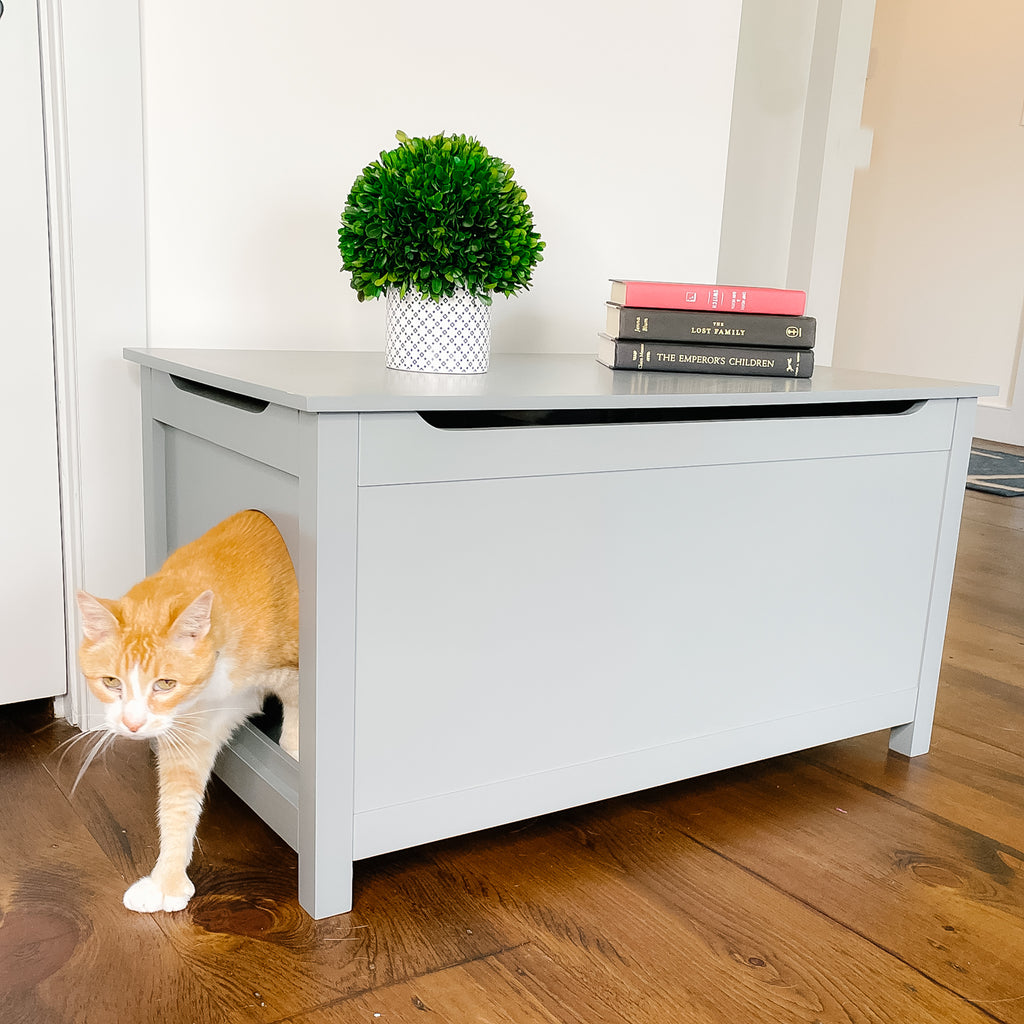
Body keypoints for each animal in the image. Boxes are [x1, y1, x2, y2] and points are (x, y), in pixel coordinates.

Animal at [76, 509, 299, 913]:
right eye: (111, 681)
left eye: (165, 684)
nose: (132, 723)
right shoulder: (190, 730)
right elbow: (177, 804)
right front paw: (166, 881)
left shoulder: (293, 672)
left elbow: (298, 727)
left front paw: (295, 757)